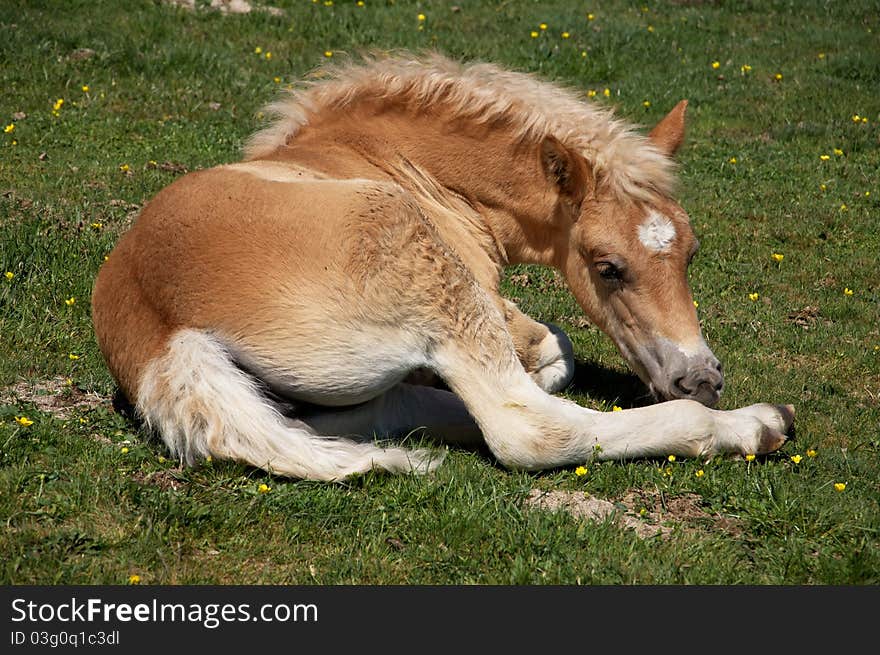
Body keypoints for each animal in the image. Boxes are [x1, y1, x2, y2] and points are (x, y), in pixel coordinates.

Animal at [93, 52, 796, 482]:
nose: (699, 378)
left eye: (690, 251)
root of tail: (161, 337)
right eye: (608, 267)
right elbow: (555, 353)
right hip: (420, 263)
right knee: (524, 430)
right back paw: (754, 425)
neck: (400, 159)